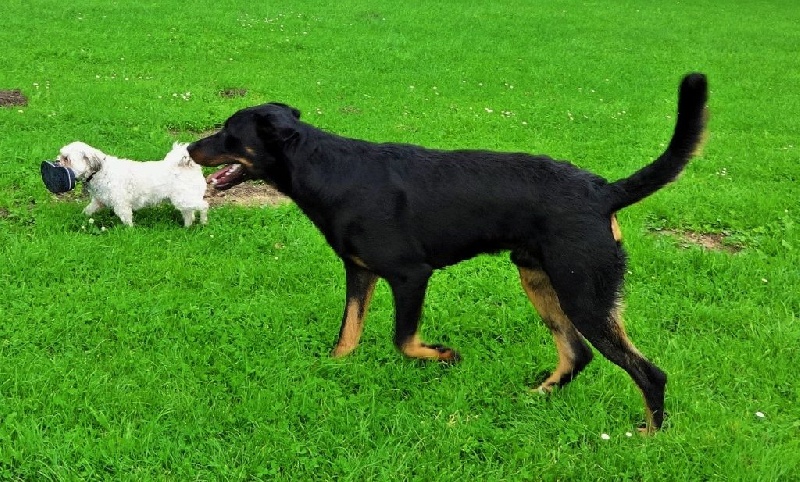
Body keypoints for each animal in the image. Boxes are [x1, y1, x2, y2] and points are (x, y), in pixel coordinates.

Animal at [59, 141, 209, 228]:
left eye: (66, 159)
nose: (56, 161)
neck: (100, 171)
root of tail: (189, 165)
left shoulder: (121, 204)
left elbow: (127, 220)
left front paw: (129, 231)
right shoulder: (99, 201)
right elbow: (88, 210)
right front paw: (82, 216)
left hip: (183, 199)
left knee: (204, 206)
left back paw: (203, 222)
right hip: (184, 199)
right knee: (189, 213)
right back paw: (187, 227)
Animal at [191, 73, 708, 432]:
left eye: (228, 132)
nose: (191, 149)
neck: (329, 171)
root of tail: (605, 192)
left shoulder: (410, 275)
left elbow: (403, 340)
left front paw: (444, 355)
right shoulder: (360, 273)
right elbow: (347, 336)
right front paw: (330, 372)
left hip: (585, 293)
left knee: (650, 373)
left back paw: (648, 436)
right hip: (541, 280)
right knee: (576, 354)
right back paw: (537, 396)